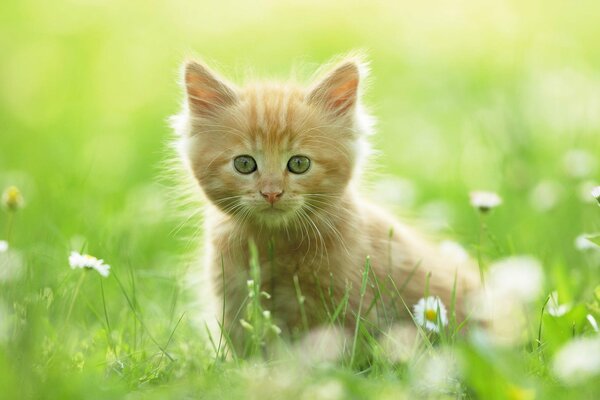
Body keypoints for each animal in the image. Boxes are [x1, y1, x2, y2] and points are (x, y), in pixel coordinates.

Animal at [171, 55, 480, 350]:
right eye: (244, 164)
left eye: (299, 163)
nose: (272, 193)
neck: (274, 243)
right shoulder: (234, 296)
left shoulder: (350, 299)